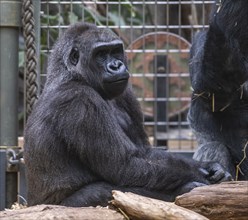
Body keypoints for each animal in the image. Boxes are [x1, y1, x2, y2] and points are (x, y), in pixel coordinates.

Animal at [24, 21, 231, 207]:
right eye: (100, 54)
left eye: (115, 51)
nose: (116, 65)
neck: (72, 74)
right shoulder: (78, 99)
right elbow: (124, 165)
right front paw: (198, 175)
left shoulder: (126, 93)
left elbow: (144, 152)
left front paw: (210, 166)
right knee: (102, 191)